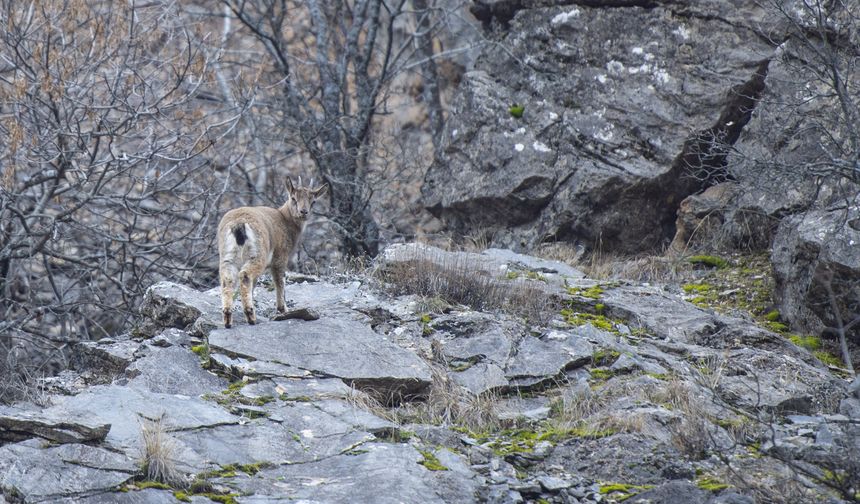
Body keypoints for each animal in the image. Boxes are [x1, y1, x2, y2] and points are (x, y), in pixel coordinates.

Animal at [217, 176, 328, 326]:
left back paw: (228, 318)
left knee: (227, 279)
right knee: (245, 275)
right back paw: (250, 316)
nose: (303, 212)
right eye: (293, 198)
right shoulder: (280, 257)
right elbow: (280, 281)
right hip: (257, 255)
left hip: (227, 256)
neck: (285, 220)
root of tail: (238, 225)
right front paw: (283, 309)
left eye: (313, 201)